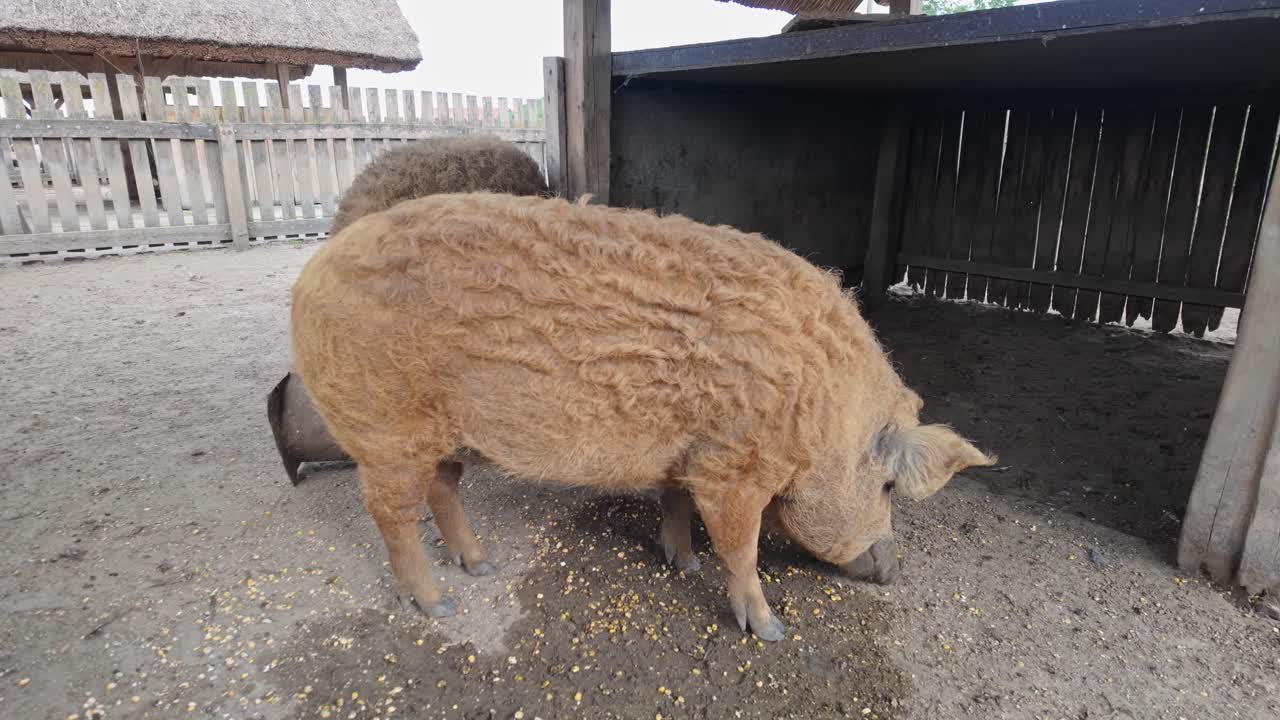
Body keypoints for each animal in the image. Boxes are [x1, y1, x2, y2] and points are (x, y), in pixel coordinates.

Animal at [289, 191, 994, 641]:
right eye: (887, 486)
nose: (895, 570)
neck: (819, 414)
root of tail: (310, 275)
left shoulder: (688, 456)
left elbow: (676, 505)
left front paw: (680, 563)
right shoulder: (733, 468)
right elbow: (739, 549)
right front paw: (770, 631)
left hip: (442, 436)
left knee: (442, 491)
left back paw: (482, 565)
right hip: (387, 431)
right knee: (391, 516)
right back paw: (439, 605)